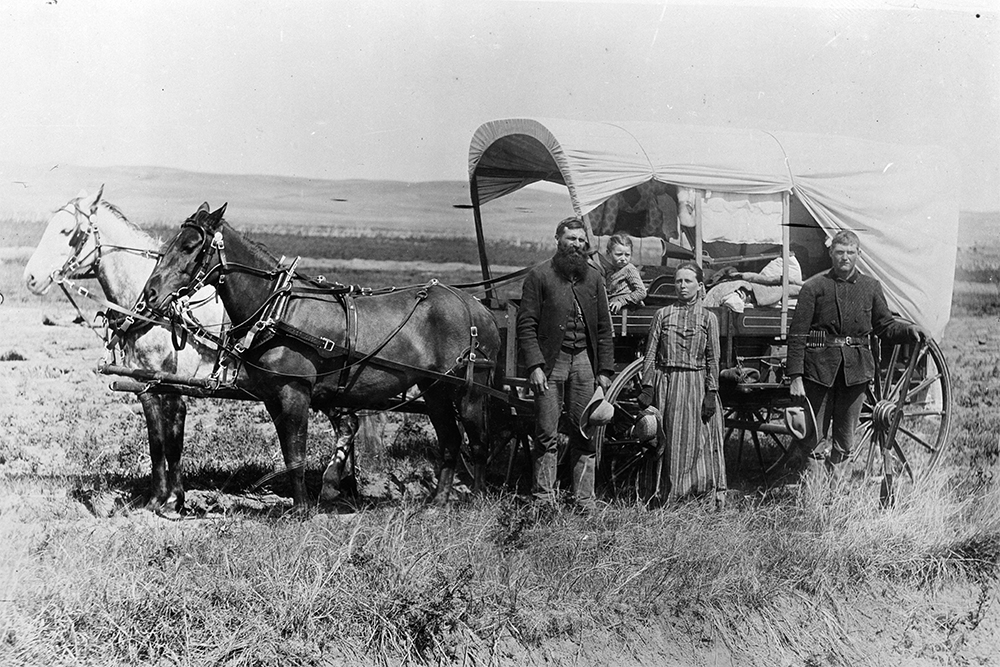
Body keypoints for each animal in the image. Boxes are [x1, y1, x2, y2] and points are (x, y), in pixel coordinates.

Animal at [24, 188, 224, 516]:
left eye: (66, 231)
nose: (30, 278)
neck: (157, 309)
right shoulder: (144, 386)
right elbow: (156, 441)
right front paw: (156, 498)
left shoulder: (174, 386)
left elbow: (174, 440)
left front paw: (175, 500)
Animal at [141, 206, 500, 508]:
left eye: (190, 246)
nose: (151, 294)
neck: (277, 309)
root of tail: (478, 308)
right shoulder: (273, 397)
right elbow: (289, 453)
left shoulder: (295, 392)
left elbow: (296, 454)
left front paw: (302, 509)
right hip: (435, 389)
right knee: (451, 441)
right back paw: (438, 502)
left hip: (470, 391)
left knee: (479, 443)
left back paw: (478, 500)